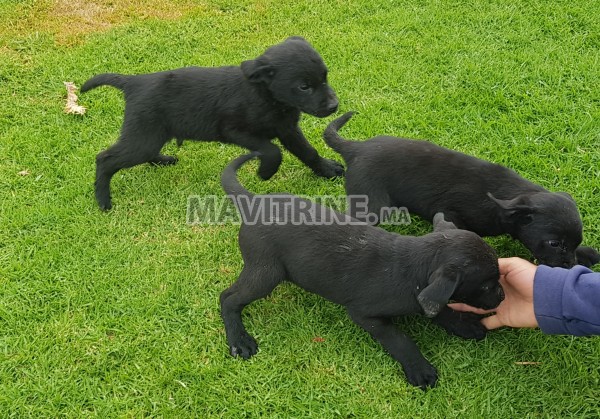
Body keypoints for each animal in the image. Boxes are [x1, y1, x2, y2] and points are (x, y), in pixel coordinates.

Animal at [81, 36, 342, 212]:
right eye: (304, 86)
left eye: (325, 77)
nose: (334, 106)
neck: (265, 94)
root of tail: (133, 83)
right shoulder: (235, 130)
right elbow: (272, 150)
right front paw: (265, 172)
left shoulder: (287, 129)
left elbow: (308, 152)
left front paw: (328, 169)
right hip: (143, 137)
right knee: (105, 159)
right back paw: (103, 200)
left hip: (150, 135)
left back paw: (163, 160)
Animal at [218, 152, 504, 390]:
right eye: (486, 285)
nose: (502, 296)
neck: (412, 269)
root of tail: (254, 202)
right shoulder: (364, 315)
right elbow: (400, 338)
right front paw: (419, 369)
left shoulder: (425, 296)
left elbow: (440, 308)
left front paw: (463, 324)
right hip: (266, 272)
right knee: (228, 298)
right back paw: (239, 341)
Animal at [324, 111, 600, 270]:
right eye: (554, 243)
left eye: (576, 241)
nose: (570, 265)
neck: (502, 201)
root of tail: (355, 148)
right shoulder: (450, 212)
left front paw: (587, 253)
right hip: (372, 204)